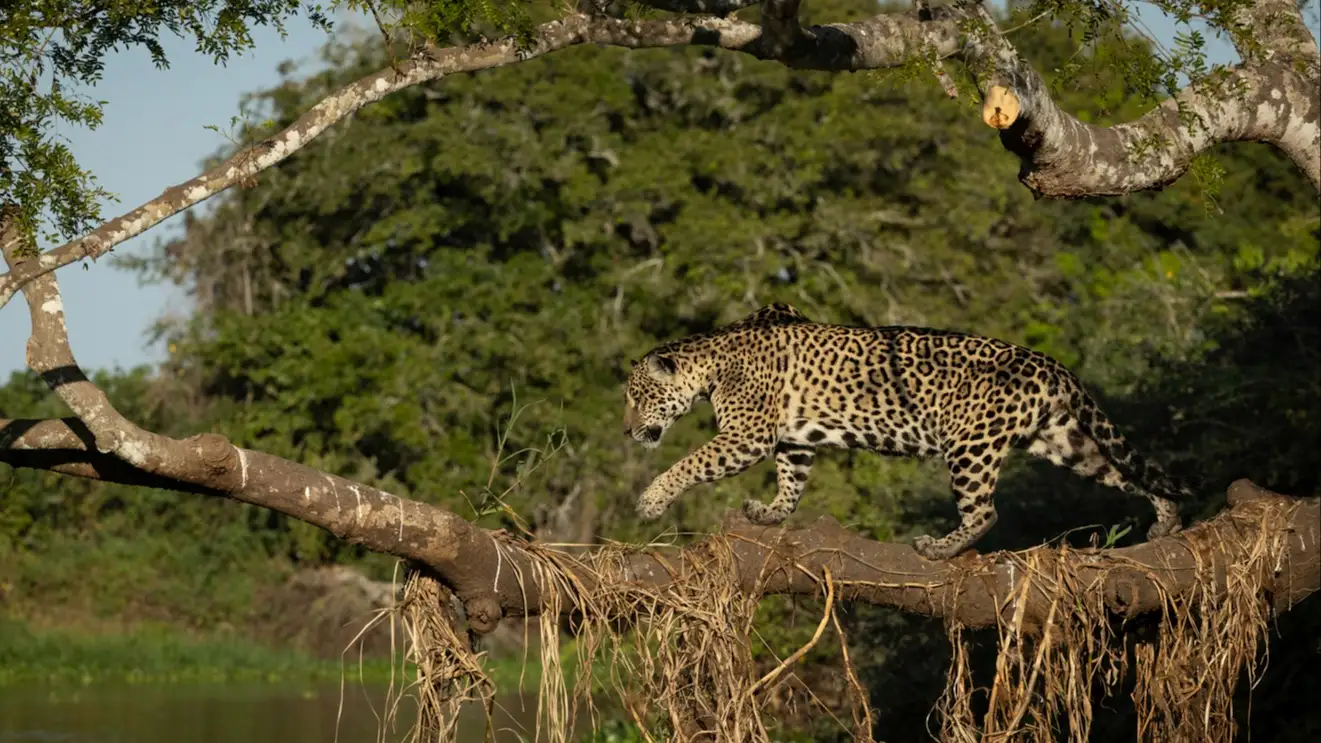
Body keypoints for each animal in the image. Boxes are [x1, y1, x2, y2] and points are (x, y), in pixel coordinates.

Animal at [622, 302, 1192, 560]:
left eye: (636, 398)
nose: (627, 432)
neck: (711, 362)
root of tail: (1051, 364)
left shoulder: (747, 436)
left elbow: (690, 463)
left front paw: (651, 500)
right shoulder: (790, 440)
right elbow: (791, 481)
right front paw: (770, 514)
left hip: (971, 446)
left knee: (985, 512)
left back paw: (938, 548)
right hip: (1064, 441)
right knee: (1129, 473)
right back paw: (1167, 521)